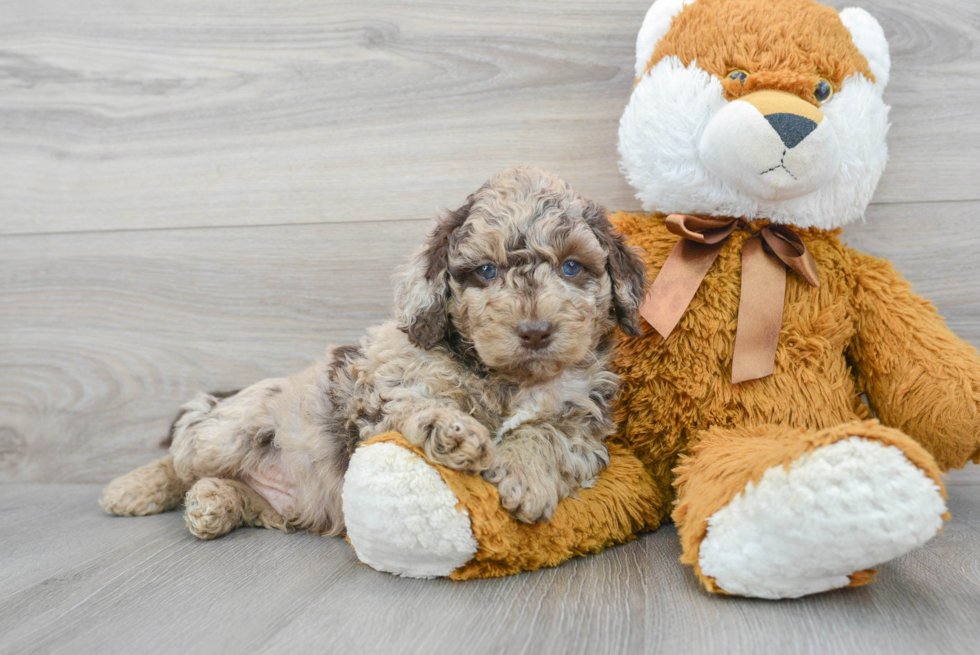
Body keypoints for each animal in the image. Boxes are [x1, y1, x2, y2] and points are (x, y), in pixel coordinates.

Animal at [101, 168, 652, 540]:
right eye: (487, 271)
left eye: (572, 267)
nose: (535, 331)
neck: (505, 379)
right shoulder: (384, 385)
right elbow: (417, 404)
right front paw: (454, 432)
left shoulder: (581, 418)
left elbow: (547, 435)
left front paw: (522, 475)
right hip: (230, 428)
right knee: (182, 455)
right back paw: (132, 490)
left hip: (288, 504)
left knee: (230, 492)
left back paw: (215, 502)